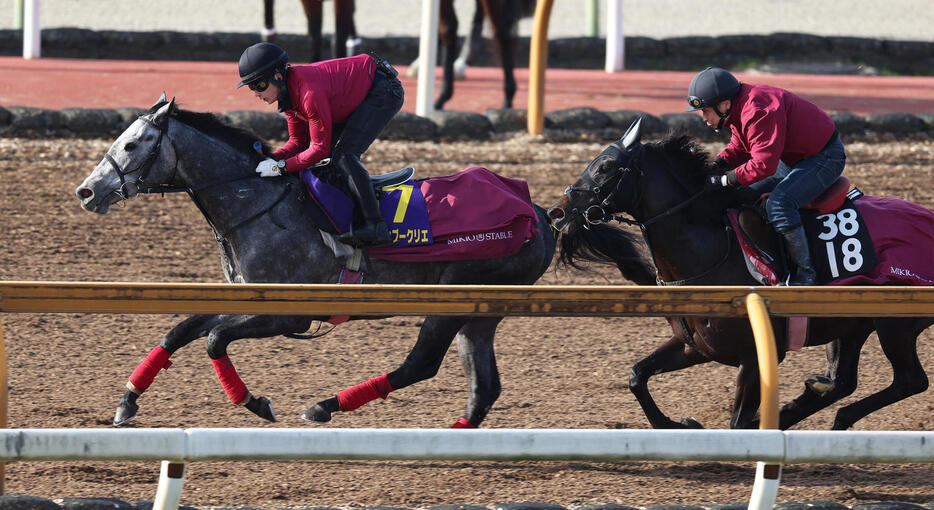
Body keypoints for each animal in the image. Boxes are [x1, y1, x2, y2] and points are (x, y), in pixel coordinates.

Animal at [78, 94, 556, 426]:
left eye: (132, 144)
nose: (86, 191)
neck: (262, 205)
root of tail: (539, 214)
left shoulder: (292, 315)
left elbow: (214, 339)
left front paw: (256, 403)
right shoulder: (247, 298)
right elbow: (179, 331)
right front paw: (127, 401)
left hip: (454, 301)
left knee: (422, 364)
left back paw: (324, 406)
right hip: (479, 312)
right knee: (484, 386)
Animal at [552, 120, 932, 430]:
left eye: (605, 167)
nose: (558, 212)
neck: (710, 253)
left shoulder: (755, 357)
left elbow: (738, 422)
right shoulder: (694, 347)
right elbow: (637, 376)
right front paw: (678, 424)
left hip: (895, 325)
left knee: (910, 381)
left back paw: (832, 416)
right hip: (851, 326)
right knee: (843, 381)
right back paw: (810, 404)